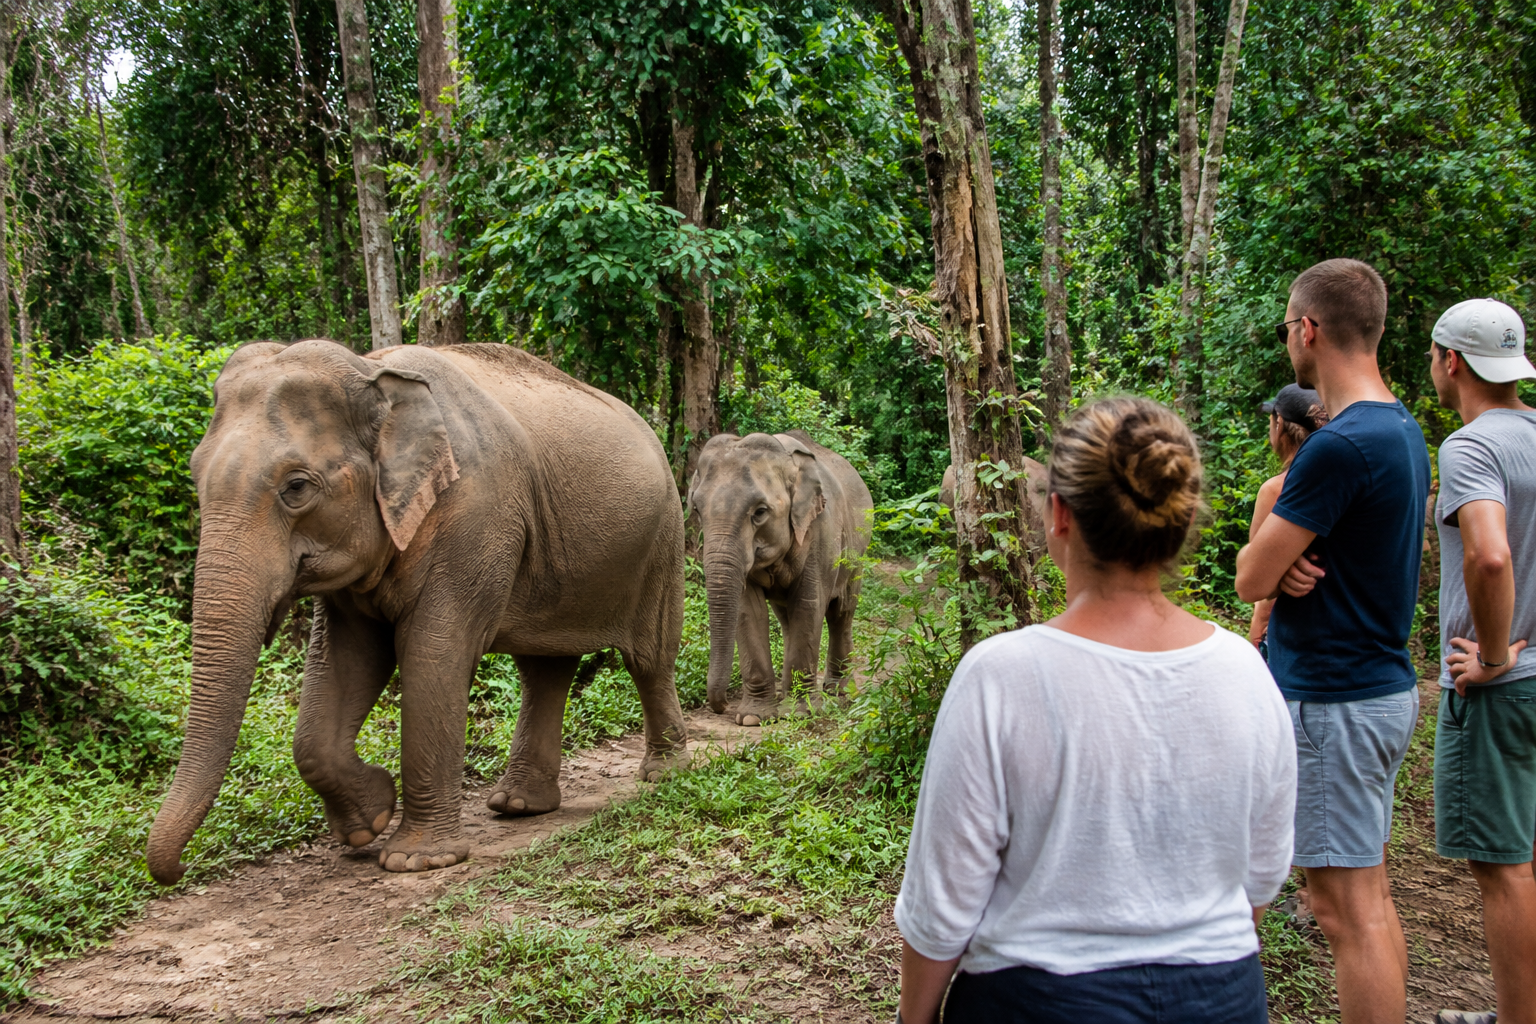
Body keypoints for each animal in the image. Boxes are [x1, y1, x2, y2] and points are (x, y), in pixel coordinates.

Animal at [146, 339, 687, 882]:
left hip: (664, 538)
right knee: (544, 670)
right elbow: (345, 661)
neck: (372, 371)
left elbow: (433, 654)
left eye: (296, 487)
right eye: (194, 474)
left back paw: (663, 774)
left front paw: (415, 860)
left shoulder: (475, 517)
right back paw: (518, 806)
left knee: (650, 658)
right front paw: (367, 822)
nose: (179, 871)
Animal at [689, 430, 873, 726]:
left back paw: (838, 692)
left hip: (856, 552)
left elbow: (809, 605)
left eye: (760, 512)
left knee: (841, 612)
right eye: (696, 508)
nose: (721, 706)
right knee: (787, 619)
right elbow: (748, 612)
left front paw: (800, 713)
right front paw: (752, 718)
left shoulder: (820, 531)